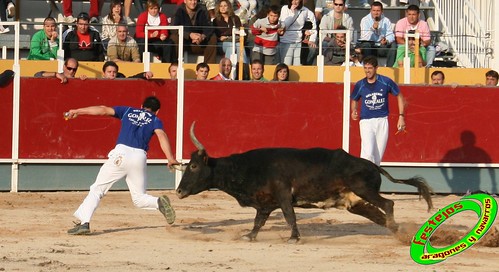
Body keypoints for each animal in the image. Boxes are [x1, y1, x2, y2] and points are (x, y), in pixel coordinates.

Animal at [177, 123, 434, 242]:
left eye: (193, 166)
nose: (178, 191)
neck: (247, 167)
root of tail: (372, 165)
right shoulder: (265, 204)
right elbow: (258, 222)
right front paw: (249, 236)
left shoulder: (283, 196)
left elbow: (289, 216)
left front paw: (293, 238)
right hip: (355, 202)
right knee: (380, 216)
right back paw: (402, 234)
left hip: (364, 190)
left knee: (388, 205)